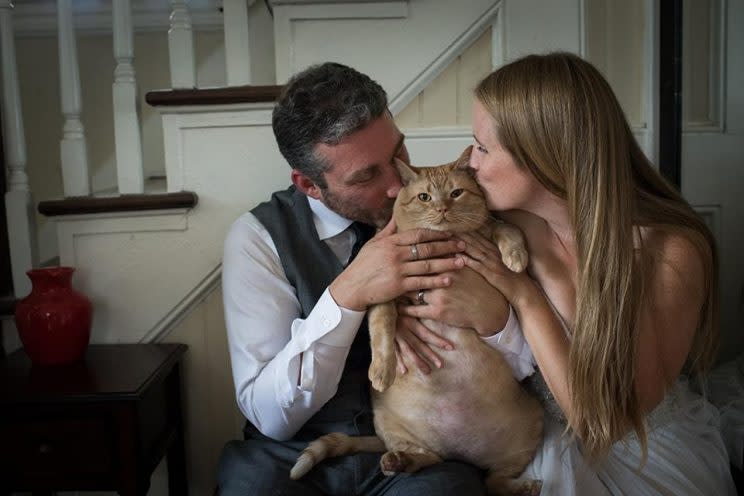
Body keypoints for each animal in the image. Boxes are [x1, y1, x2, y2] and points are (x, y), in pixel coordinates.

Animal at [290, 147, 540, 496]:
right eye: (424, 197)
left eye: (456, 193)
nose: (441, 208)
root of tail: (460, 453)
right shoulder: (384, 291)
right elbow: (382, 329)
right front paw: (382, 370)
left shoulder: (491, 232)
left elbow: (508, 229)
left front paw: (516, 257)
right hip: (391, 427)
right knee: (431, 459)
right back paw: (399, 460)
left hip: (528, 433)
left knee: (492, 480)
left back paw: (525, 487)